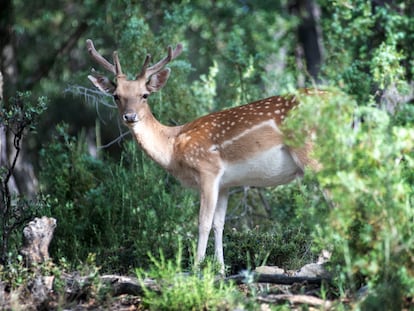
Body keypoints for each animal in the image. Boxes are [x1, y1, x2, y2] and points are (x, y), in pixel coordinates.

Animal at [85, 39, 322, 276]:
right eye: (116, 95)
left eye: (145, 94)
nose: (130, 116)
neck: (173, 147)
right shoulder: (226, 183)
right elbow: (220, 223)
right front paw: (221, 269)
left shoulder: (208, 169)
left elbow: (203, 222)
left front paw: (197, 267)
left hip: (311, 153)